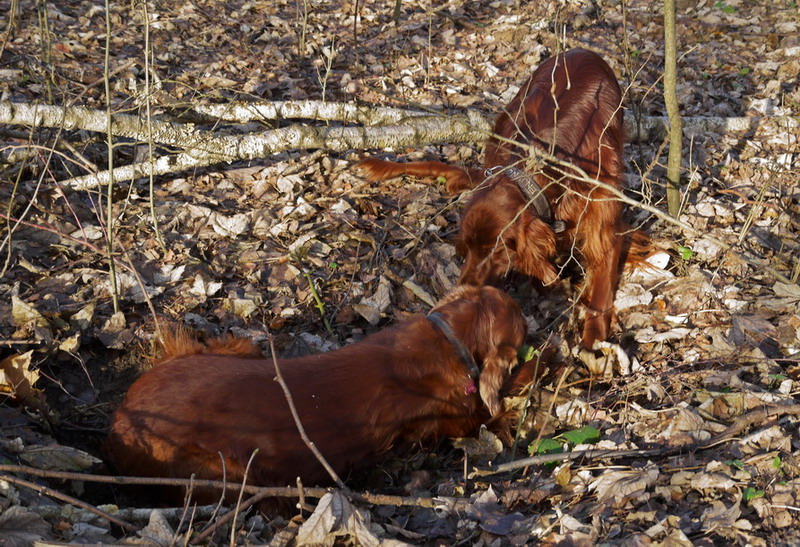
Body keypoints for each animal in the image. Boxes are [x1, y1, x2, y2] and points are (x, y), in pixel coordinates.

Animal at [104, 285, 527, 505]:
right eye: (521, 320)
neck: (446, 338)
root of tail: (120, 421)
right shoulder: (462, 417)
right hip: (229, 471)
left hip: (237, 348)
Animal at [360, 48, 649, 351]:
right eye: (467, 247)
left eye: (495, 250)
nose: (462, 289)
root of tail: (583, 50)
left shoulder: (602, 220)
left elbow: (601, 287)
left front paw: (593, 340)